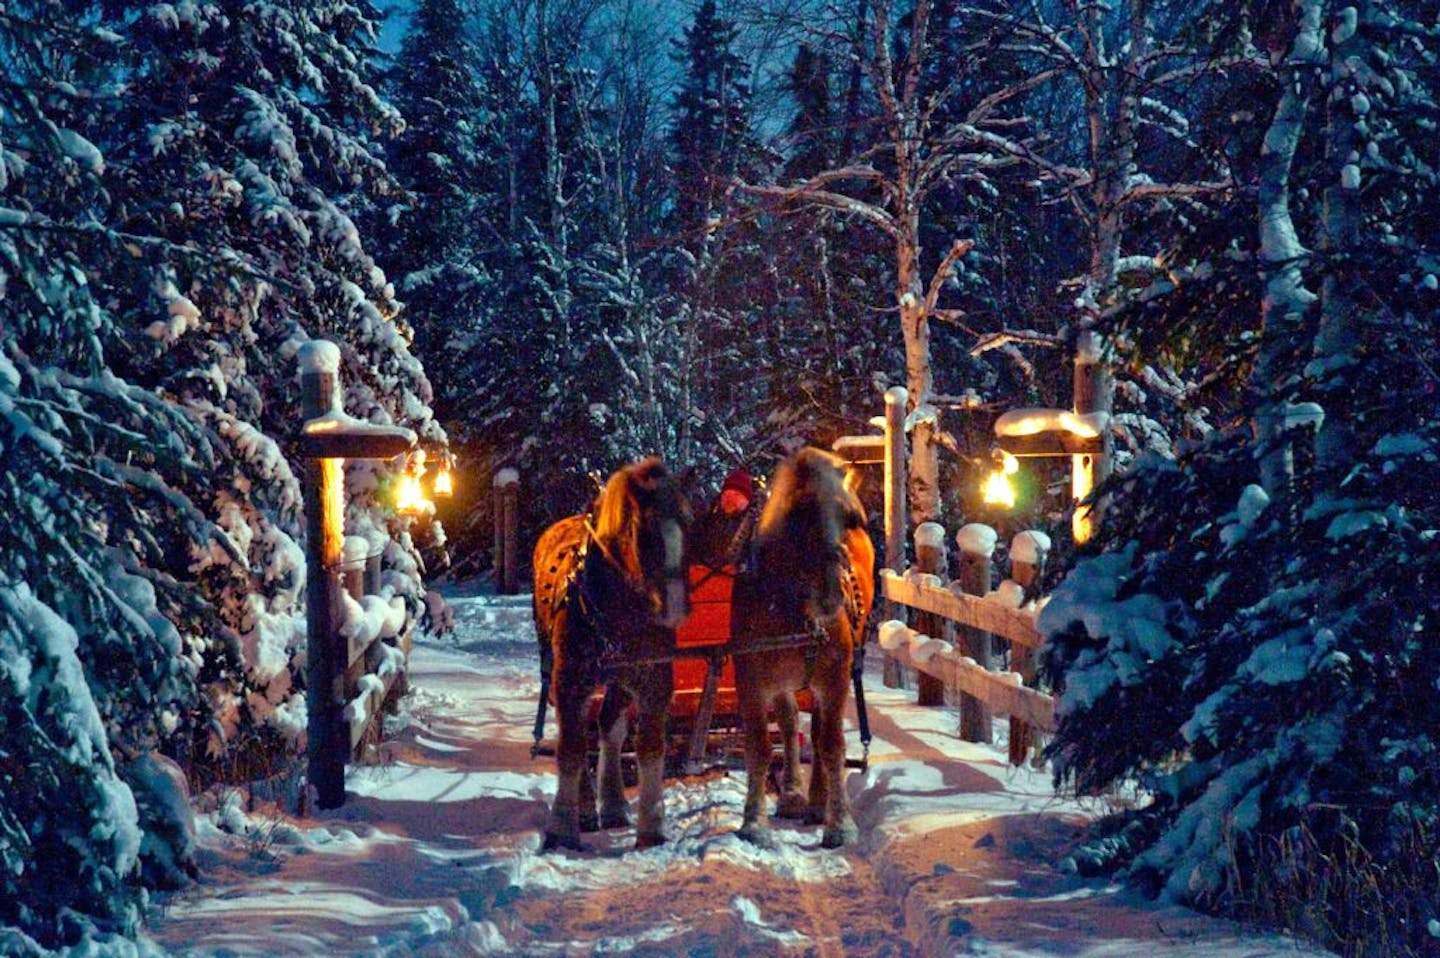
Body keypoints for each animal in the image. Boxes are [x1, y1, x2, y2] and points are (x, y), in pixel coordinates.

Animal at [532, 458, 694, 852]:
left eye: (689, 523)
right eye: (642, 531)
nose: (674, 607)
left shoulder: (653, 678)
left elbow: (649, 746)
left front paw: (651, 827)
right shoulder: (570, 681)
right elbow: (571, 750)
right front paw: (562, 828)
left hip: (619, 679)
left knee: (608, 728)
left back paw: (615, 804)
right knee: (576, 734)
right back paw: (587, 810)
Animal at [731, 446, 875, 847]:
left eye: (851, 519)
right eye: (801, 513)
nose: (831, 595)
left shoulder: (835, 677)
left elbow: (832, 745)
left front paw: (839, 824)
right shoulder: (750, 678)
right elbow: (760, 746)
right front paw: (754, 824)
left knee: (818, 732)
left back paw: (816, 802)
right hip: (784, 681)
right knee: (790, 720)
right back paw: (794, 794)